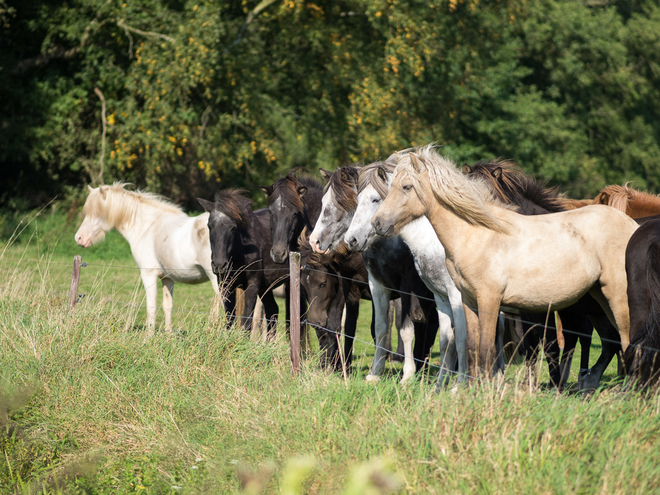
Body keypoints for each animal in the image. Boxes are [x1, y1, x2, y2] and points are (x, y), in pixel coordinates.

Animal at [75, 184, 219, 336]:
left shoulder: (148, 274)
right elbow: (167, 306)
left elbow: (151, 306)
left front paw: (149, 335)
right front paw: (168, 334)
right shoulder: (167, 278)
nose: (79, 238)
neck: (148, 227)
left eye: (98, 213)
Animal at [197, 190, 288, 338]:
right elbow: (230, 321)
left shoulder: (252, 285)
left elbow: (246, 324)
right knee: (272, 310)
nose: (219, 265)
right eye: (210, 226)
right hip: (266, 287)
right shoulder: (226, 286)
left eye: (233, 228)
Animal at [372, 145, 640, 390]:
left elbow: (487, 348)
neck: (478, 233)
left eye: (407, 187)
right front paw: (469, 391)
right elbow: (472, 347)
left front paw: (487, 391)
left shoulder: (490, 300)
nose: (377, 223)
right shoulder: (469, 301)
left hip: (615, 297)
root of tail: (632, 225)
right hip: (600, 300)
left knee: (627, 340)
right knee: (617, 341)